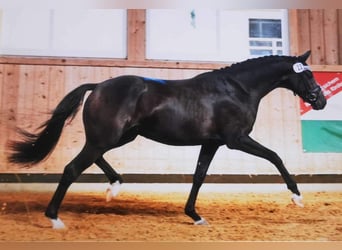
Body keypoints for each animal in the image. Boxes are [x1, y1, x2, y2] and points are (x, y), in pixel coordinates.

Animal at [8, 50, 326, 229]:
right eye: (309, 75)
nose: (320, 100)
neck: (238, 89)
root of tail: (98, 86)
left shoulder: (211, 143)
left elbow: (199, 176)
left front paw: (195, 216)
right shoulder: (236, 139)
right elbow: (275, 156)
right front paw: (297, 196)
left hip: (118, 136)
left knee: (92, 158)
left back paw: (114, 187)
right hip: (108, 137)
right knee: (73, 168)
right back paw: (55, 219)